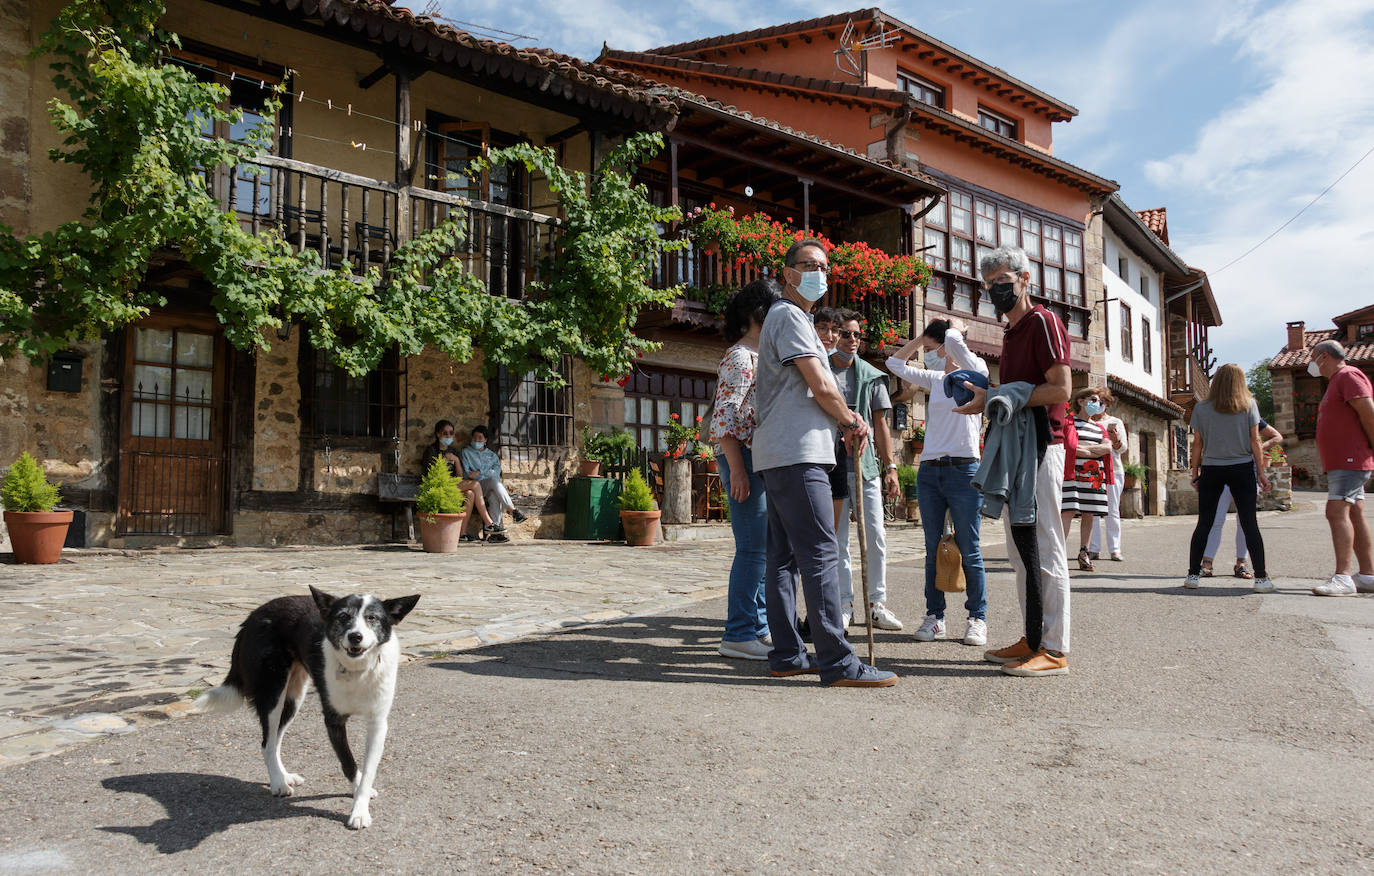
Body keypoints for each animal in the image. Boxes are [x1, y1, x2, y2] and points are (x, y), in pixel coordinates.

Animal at [190, 590, 420, 829]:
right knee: (266, 743)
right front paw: (357, 803)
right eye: (343, 617)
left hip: (294, 698)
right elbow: (348, 763)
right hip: (273, 693)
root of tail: (254, 614)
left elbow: (368, 771)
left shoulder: (377, 723)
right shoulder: (333, 721)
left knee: (275, 741)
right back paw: (278, 782)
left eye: (372, 618)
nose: (355, 636)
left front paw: (360, 806)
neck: (358, 670)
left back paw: (284, 776)